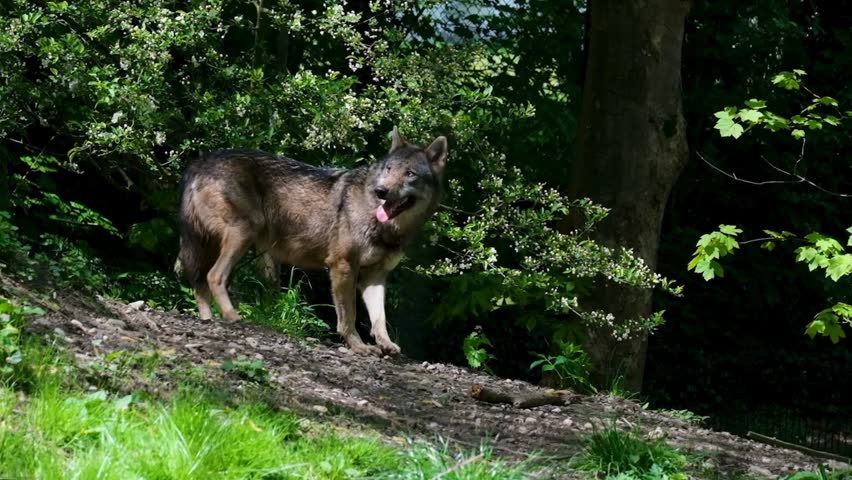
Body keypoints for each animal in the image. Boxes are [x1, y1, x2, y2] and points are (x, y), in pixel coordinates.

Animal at [174, 127, 447, 356]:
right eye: (388, 169)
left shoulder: (375, 276)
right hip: (242, 234)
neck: (385, 224)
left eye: (409, 174)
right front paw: (358, 346)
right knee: (214, 276)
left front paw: (385, 344)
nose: (381, 191)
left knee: (199, 282)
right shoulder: (342, 266)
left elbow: (379, 318)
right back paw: (232, 316)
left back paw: (208, 319)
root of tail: (200, 161)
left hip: (212, 244)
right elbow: (348, 316)